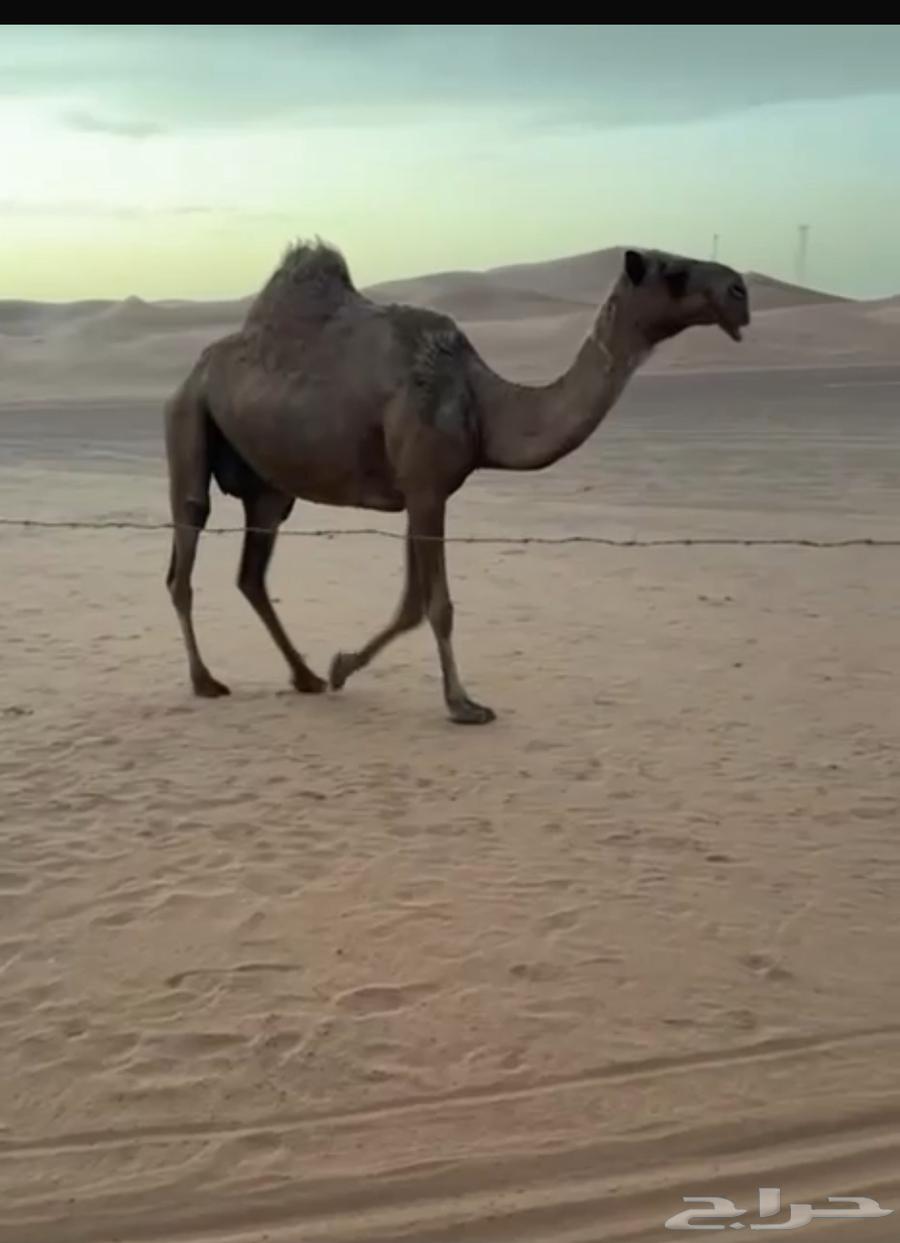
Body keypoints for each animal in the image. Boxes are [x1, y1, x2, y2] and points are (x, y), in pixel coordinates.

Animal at [164, 241, 749, 723]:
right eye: (673, 272)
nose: (740, 290)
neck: (483, 403)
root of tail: (195, 368)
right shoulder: (426, 488)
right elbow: (438, 605)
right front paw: (463, 704)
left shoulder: (418, 492)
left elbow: (410, 604)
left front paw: (339, 666)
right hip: (189, 418)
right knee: (185, 549)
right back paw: (205, 681)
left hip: (269, 487)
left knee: (251, 575)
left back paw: (305, 676)